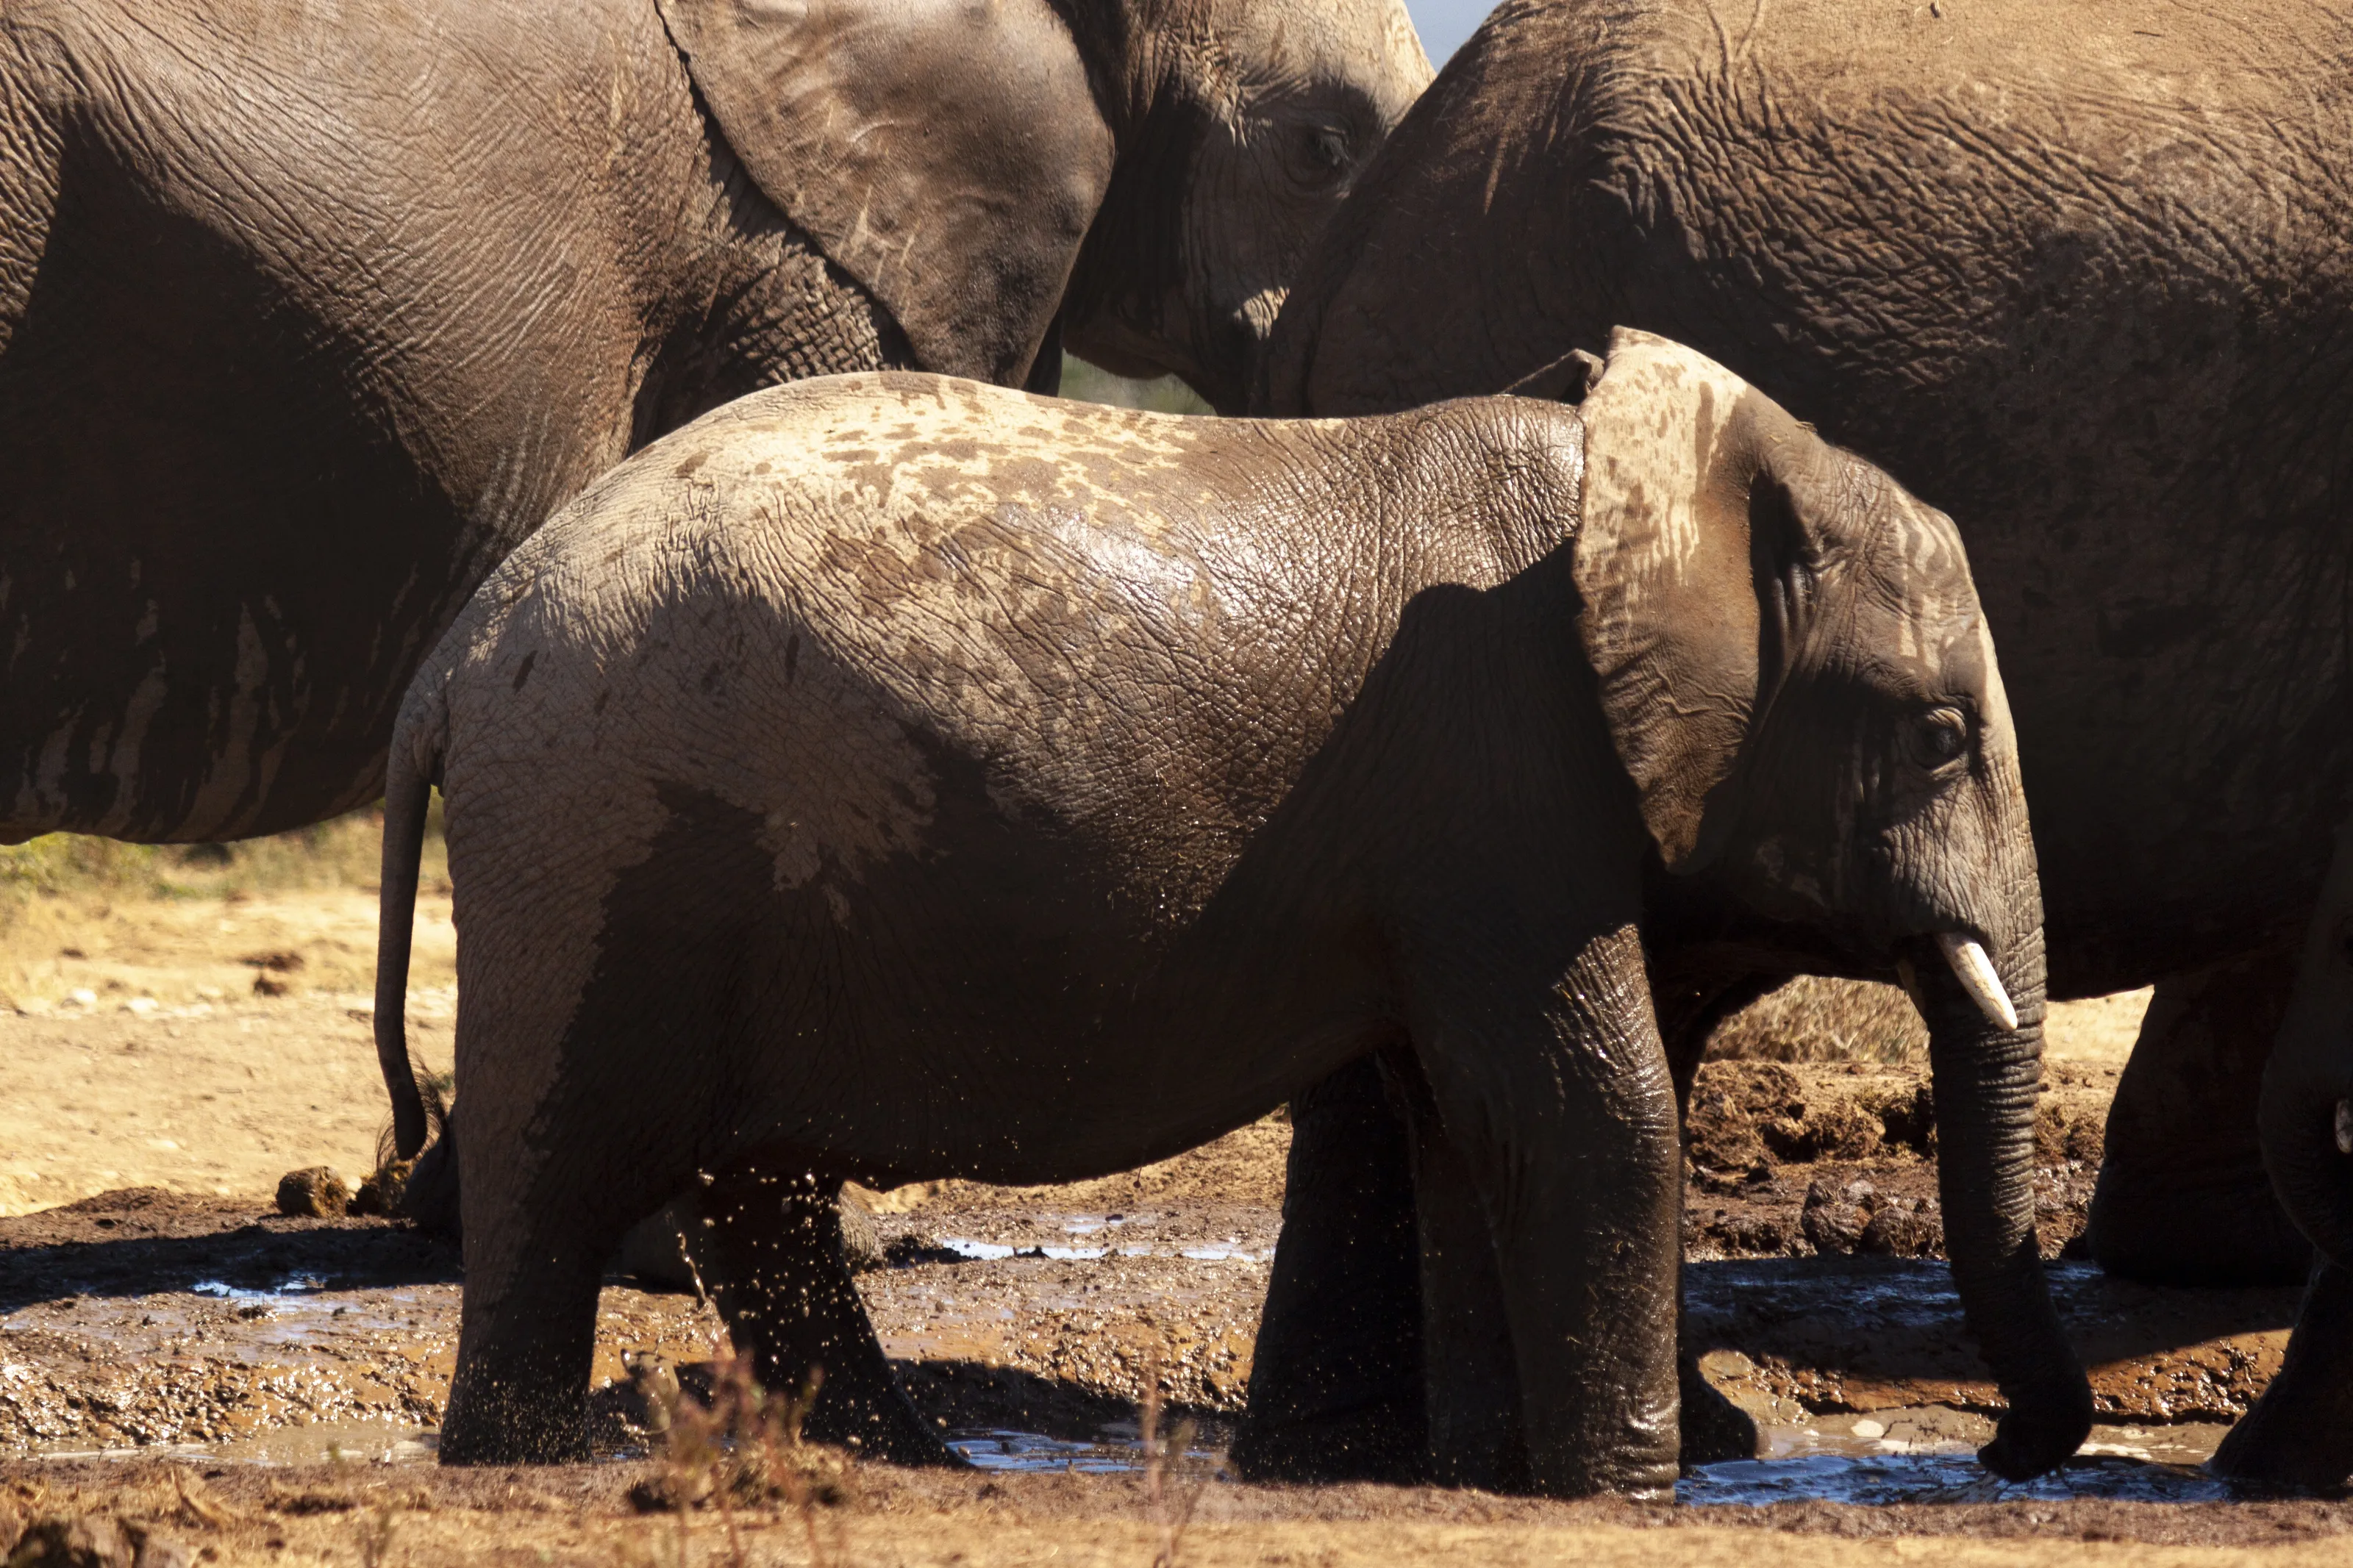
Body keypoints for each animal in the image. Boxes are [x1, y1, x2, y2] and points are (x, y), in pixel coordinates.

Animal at [368, 337, 2089, 1488]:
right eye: (1941, 734)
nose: (2006, 1451)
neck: (1670, 477)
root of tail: (454, 654)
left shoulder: (1461, 826)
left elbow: (1466, 1122)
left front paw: (1487, 1478)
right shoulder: (1504, 776)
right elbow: (1589, 1112)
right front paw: (1627, 1492)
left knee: (750, 1188)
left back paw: (902, 1465)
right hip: (596, 839)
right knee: (563, 1166)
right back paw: (524, 1460)